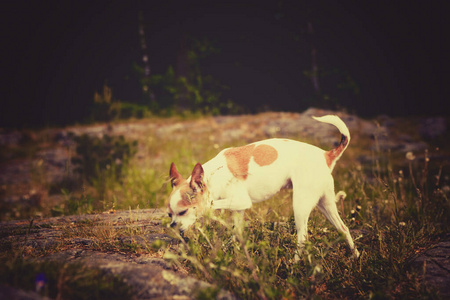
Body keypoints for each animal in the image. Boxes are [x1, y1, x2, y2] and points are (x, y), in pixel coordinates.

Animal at [167, 115, 360, 258]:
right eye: (170, 214)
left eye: (183, 212)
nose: (173, 226)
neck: (214, 174)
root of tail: (326, 155)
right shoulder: (238, 210)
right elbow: (236, 233)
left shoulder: (241, 201)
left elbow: (211, 204)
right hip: (325, 204)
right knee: (343, 229)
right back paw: (355, 256)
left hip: (300, 206)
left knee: (303, 238)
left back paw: (295, 264)